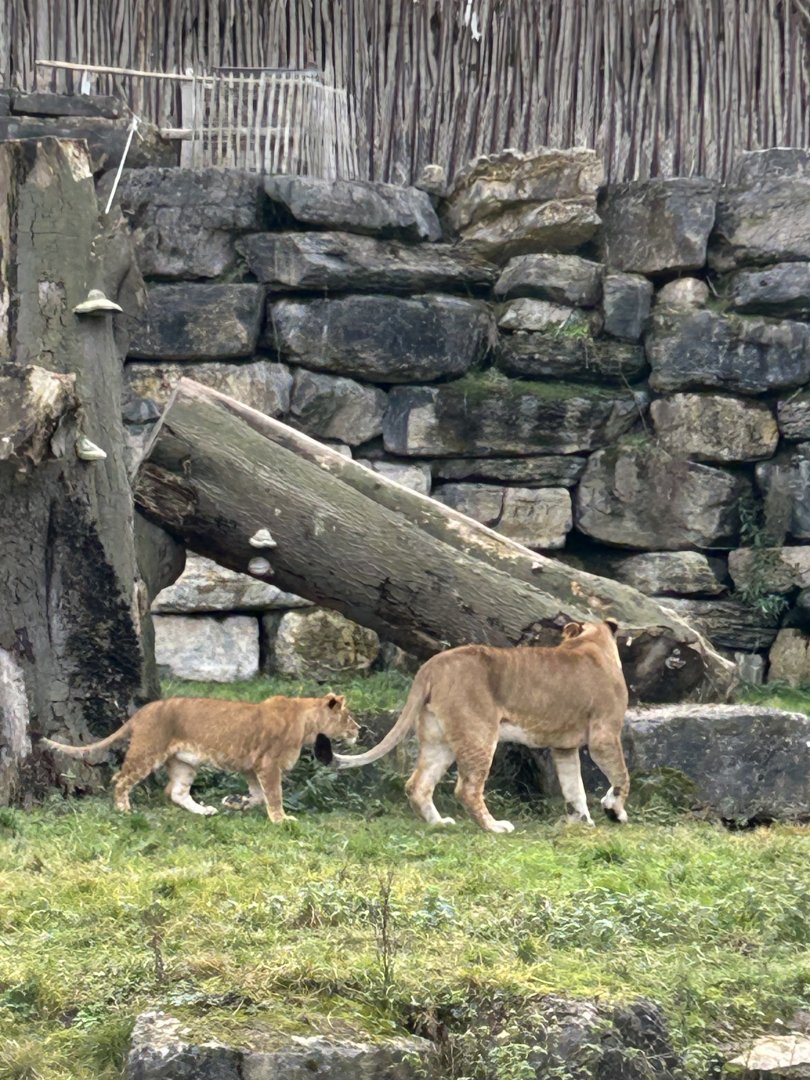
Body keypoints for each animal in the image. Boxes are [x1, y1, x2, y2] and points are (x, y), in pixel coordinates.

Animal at [40, 693, 359, 821]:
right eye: (348, 716)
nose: (359, 729)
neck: (307, 724)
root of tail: (143, 710)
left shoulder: (251, 766)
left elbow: (258, 795)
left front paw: (236, 803)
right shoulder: (267, 764)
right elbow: (274, 795)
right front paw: (281, 820)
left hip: (184, 762)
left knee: (176, 792)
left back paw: (204, 811)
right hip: (147, 751)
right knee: (120, 778)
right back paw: (124, 810)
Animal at [334, 619, 629, 832]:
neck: (589, 643)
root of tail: (432, 665)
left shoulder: (563, 748)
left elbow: (574, 787)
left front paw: (583, 822)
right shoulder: (604, 735)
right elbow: (621, 776)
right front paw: (614, 811)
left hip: (438, 739)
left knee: (418, 785)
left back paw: (439, 824)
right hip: (480, 733)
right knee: (467, 789)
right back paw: (494, 827)